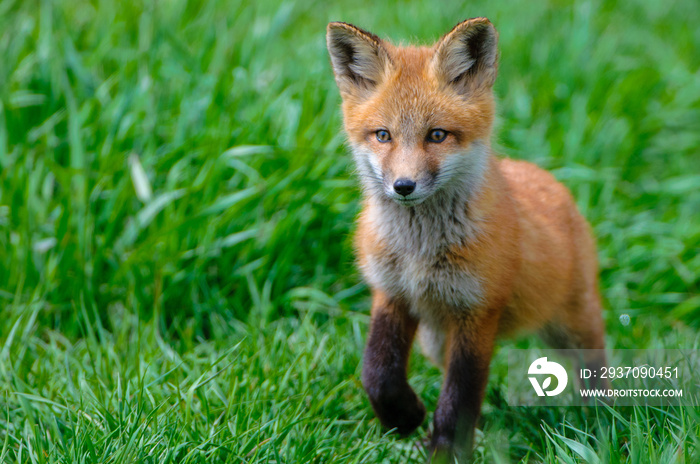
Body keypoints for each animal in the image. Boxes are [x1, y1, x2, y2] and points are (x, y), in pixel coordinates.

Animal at [328, 19, 608, 460]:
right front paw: (405, 417)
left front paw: (445, 452)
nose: (403, 186)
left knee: (595, 369)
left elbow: (459, 395)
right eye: (383, 135)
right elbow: (378, 373)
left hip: (572, 324)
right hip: (434, 338)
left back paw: (604, 422)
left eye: (437, 135)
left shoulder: (477, 311)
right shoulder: (391, 294)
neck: (419, 253)